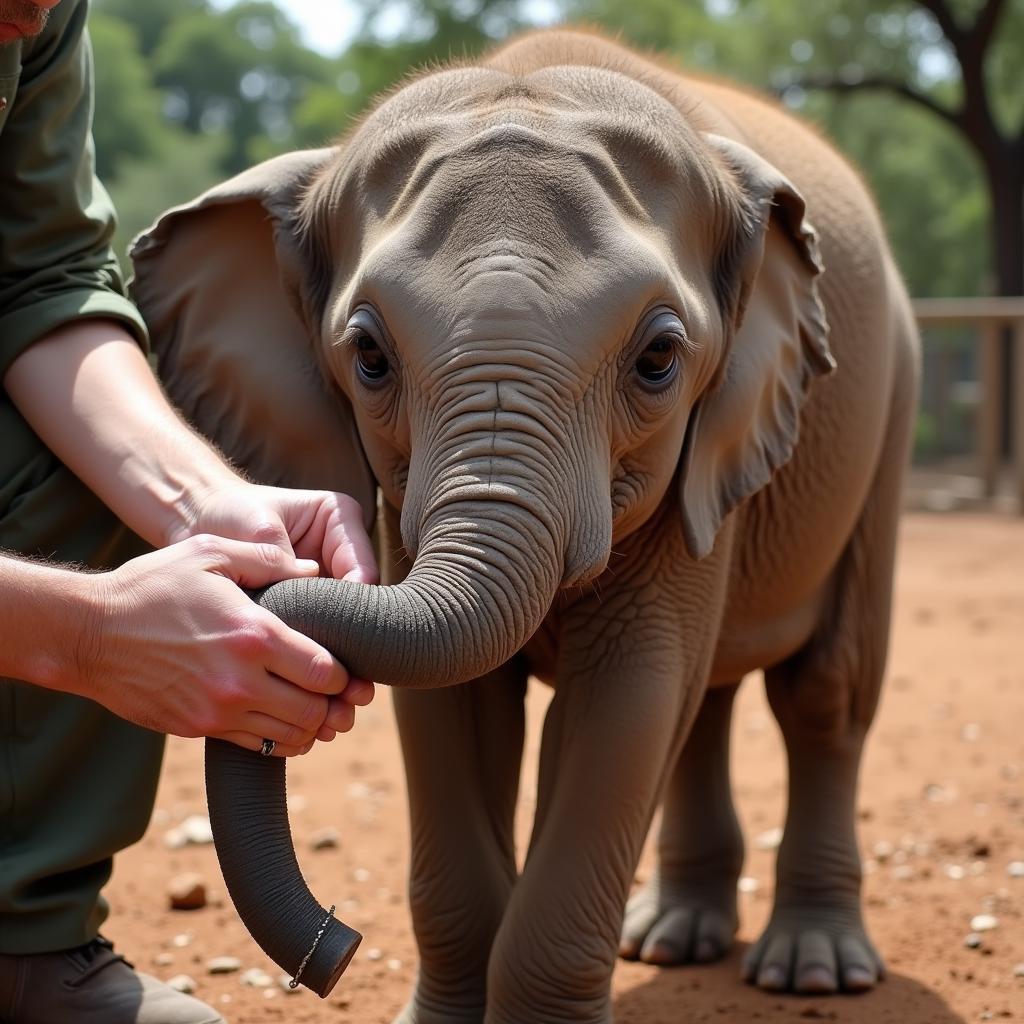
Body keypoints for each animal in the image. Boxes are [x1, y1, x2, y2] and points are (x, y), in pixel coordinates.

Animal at [132, 25, 917, 1024]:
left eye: (659, 359)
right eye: (369, 356)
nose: (337, 948)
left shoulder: (695, 450)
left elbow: (632, 692)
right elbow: (448, 708)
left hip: (890, 401)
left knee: (822, 691)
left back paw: (812, 970)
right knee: (710, 696)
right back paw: (672, 941)